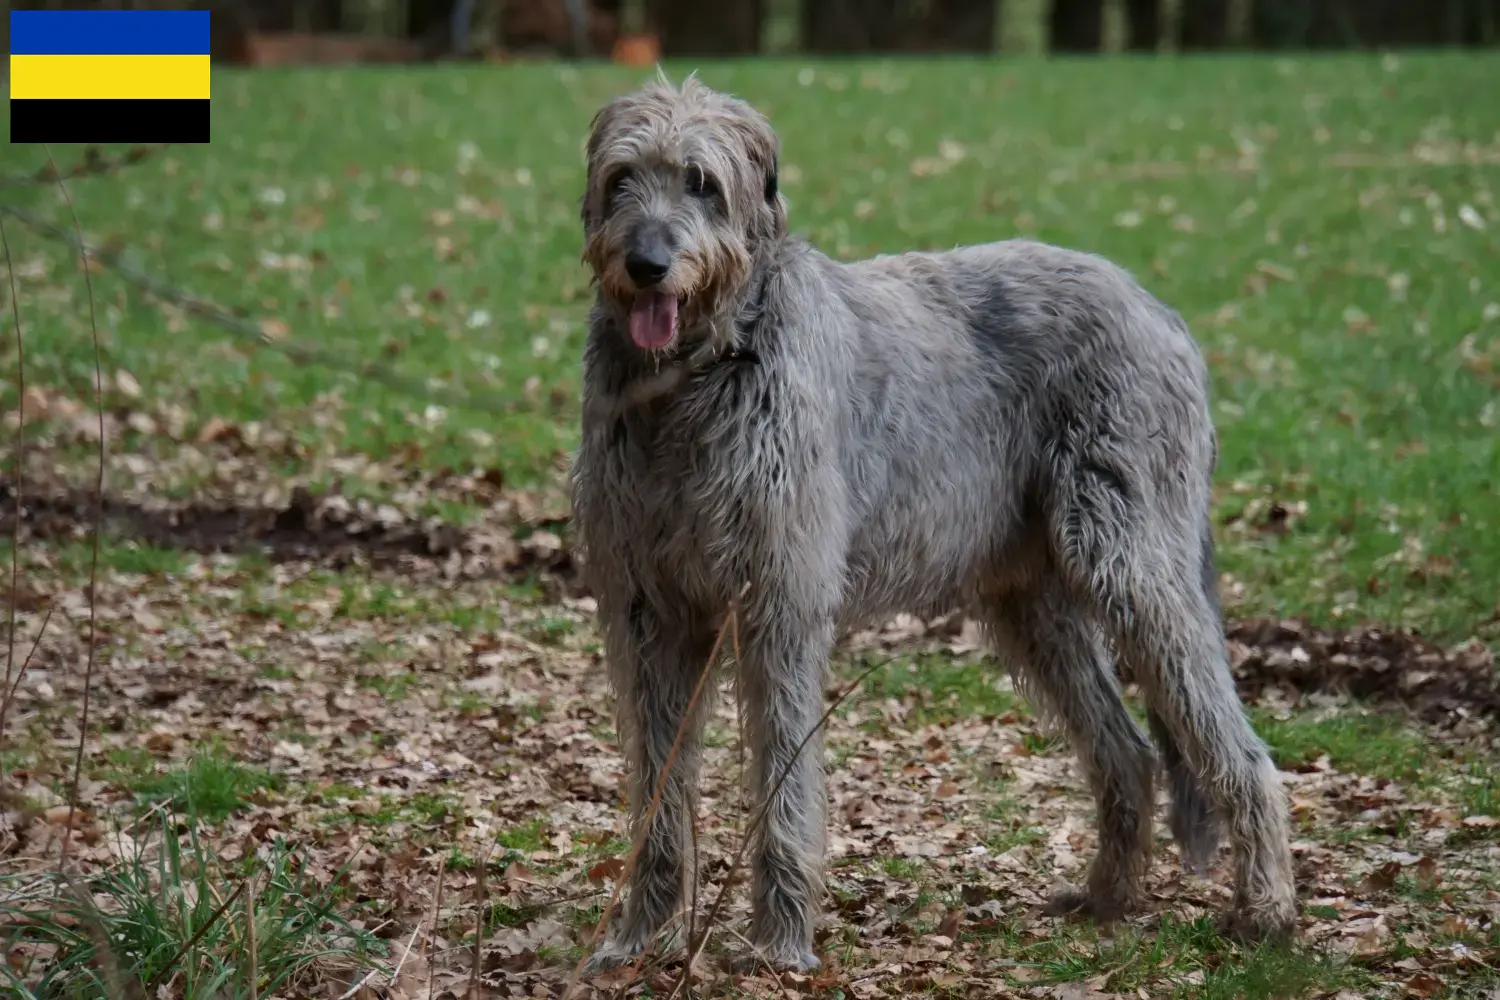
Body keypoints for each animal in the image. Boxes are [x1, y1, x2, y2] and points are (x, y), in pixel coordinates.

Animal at [567, 72, 1296, 977]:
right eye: (622, 178)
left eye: (703, 182)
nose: (647, 265)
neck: (697, 378)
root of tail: (1163, 312)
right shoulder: (649, 611)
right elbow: (657, 785)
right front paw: (638, 936)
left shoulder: (780, 604)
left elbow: (784, 783)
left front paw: (781, 943)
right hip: (1034, 601)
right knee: (1126, 751)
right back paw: (1107, 898)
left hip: (1133, 558)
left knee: (1240, 749)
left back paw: (1266, 908)